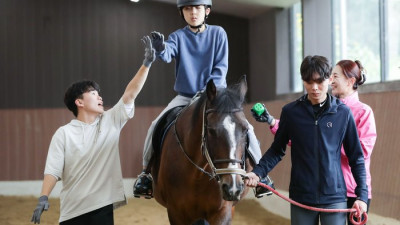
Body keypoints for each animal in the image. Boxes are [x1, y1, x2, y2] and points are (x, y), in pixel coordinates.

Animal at [150, 76, 253, 224]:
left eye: (245, 129)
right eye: (211, 130)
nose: (232, 188)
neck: (197, 174)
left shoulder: (222, 212)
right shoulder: (176, 213)